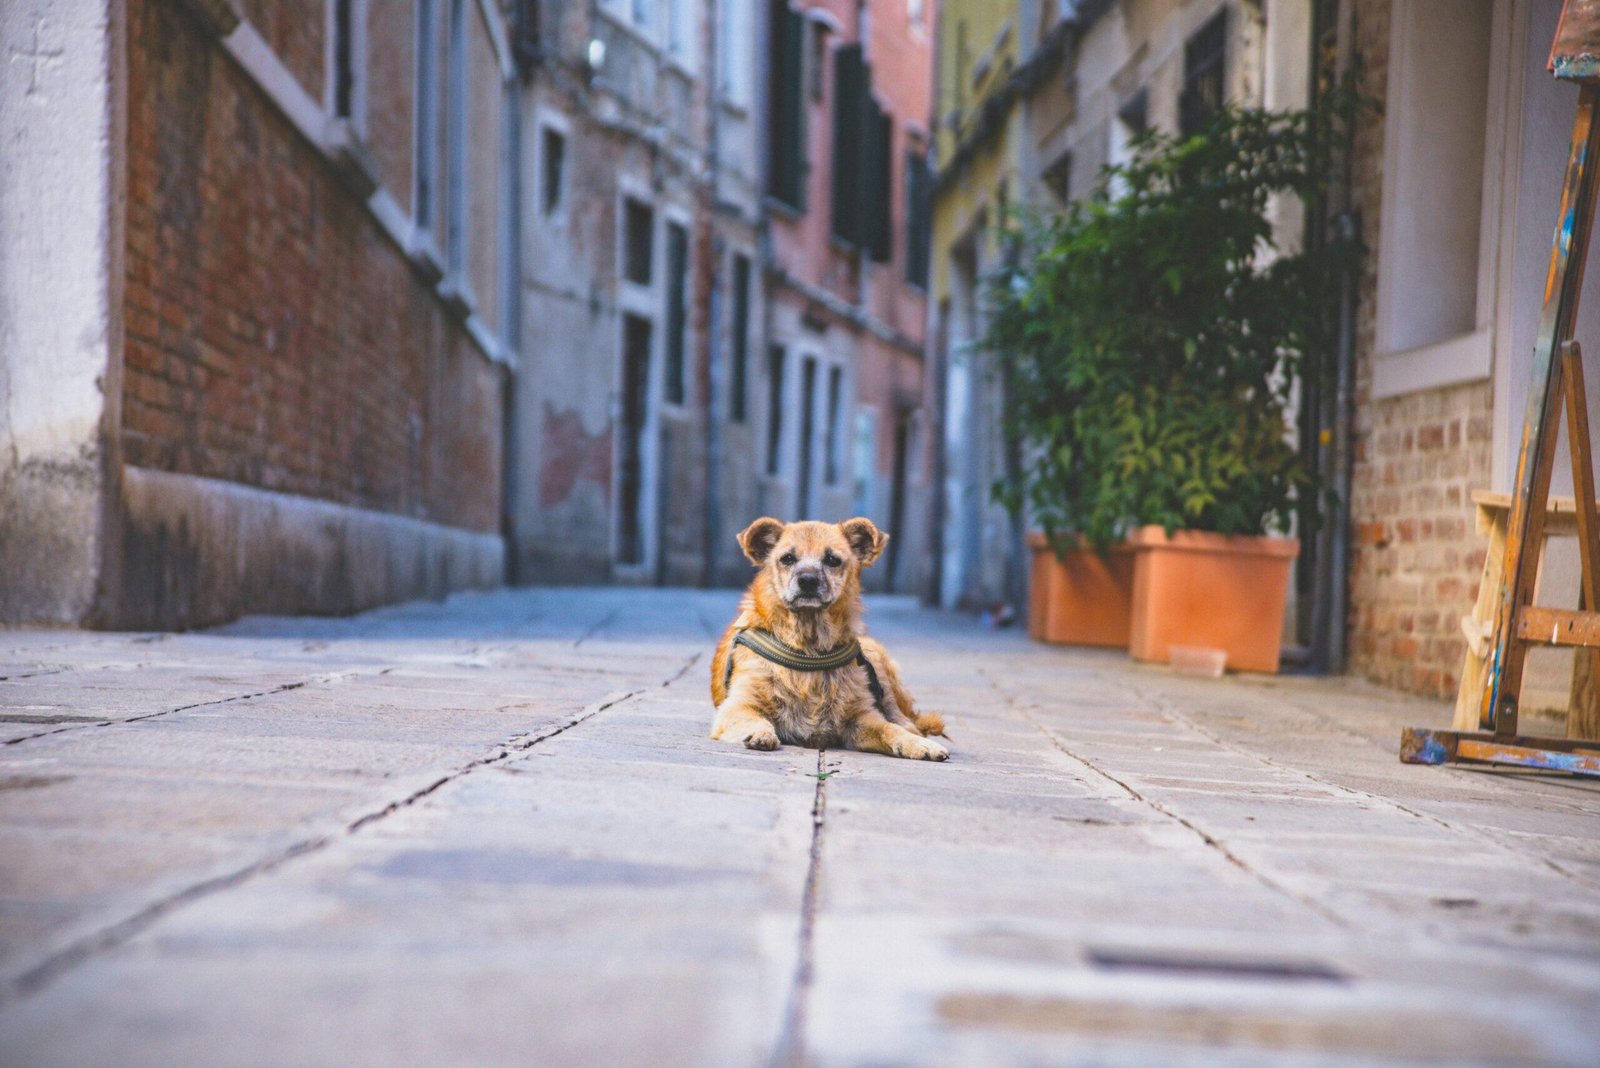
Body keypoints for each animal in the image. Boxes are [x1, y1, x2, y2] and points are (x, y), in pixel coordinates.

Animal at [707, 518, 940, 757]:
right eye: (787, 559)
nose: (807, 580)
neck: (808, 649)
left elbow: (889, 728)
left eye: (832, 560)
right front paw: (759, 733)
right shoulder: (737, 707)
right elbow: (755, 719)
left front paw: (916, 744)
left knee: (906, 721)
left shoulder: (862, 718)